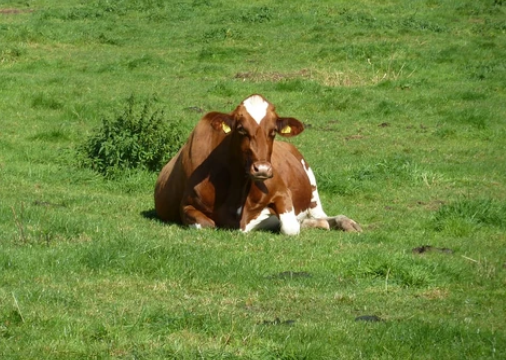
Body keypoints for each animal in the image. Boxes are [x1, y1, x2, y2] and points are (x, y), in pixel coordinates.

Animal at [153, 94, 360, 235]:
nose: (262, 169)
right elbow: (206, 224)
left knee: (321, 216)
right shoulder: (187, 205)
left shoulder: (281, 192)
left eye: (273, 131)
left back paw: (345, 222)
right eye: (241, 129)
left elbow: (289, 226)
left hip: (312, 190)